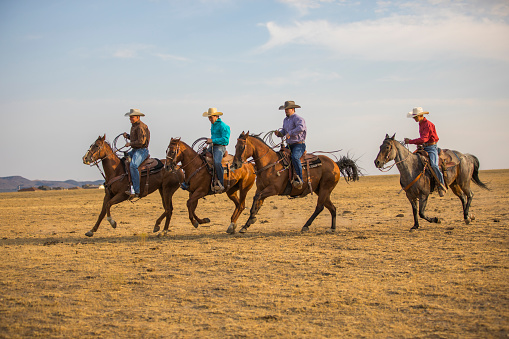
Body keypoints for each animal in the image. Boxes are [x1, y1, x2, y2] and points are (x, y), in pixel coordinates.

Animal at [232, 132, 360, 234]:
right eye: (235, 146)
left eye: (242, 147)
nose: (235, 164)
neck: (270, 163)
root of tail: (335, 164)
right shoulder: (261, 189)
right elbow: (257, 203)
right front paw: (246, 225)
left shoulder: (273, 189)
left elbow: (256, 199)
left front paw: (251, 220)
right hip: (321, 190)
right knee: (332, 208)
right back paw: (332, 228)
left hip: (325, 189)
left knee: (319, 207)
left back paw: (306, 226)